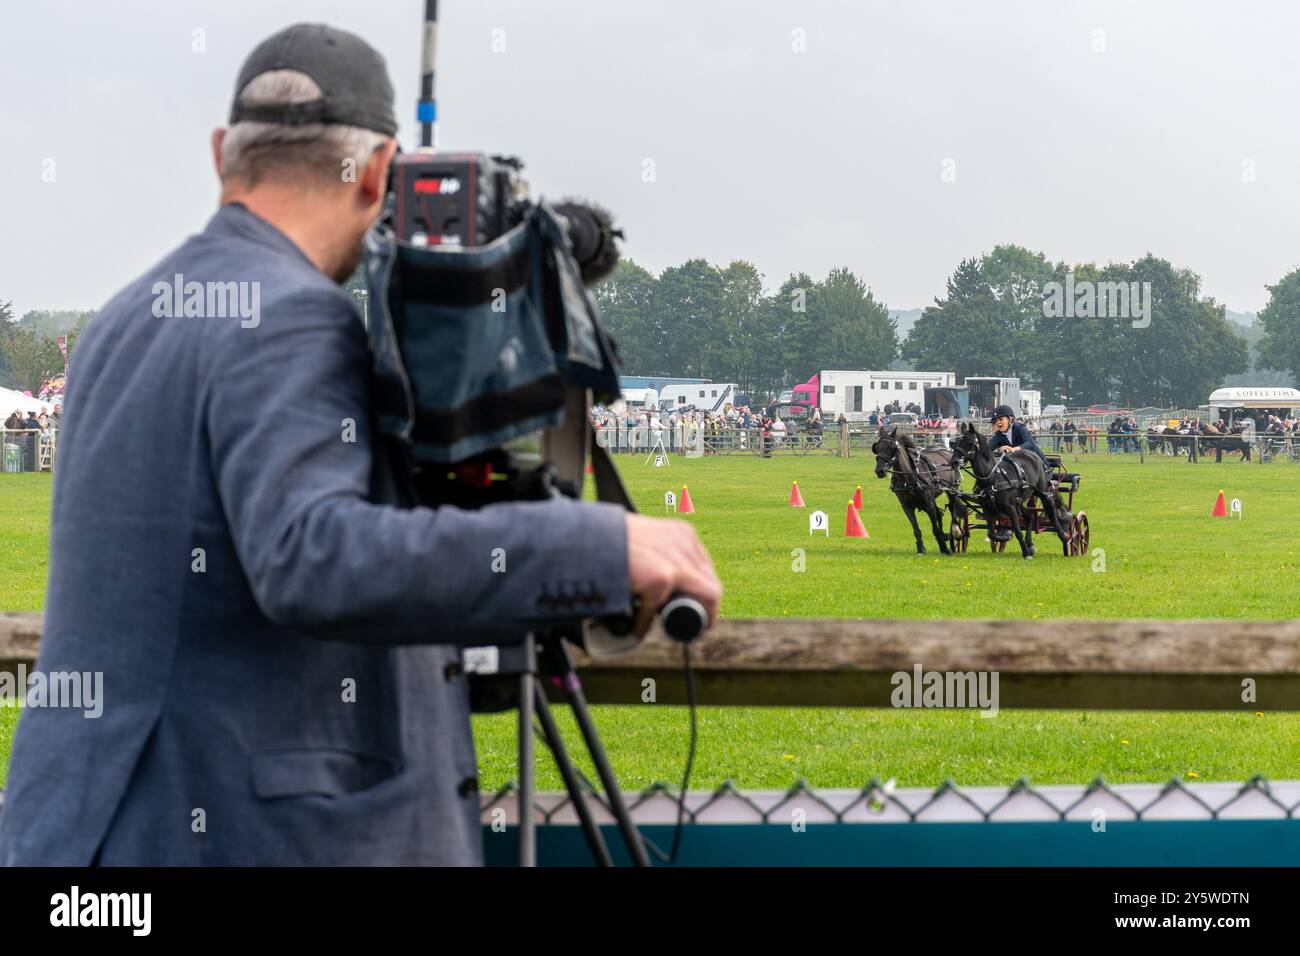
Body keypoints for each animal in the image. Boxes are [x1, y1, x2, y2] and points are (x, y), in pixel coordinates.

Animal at [951, 426, 1071, 561]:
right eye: (956, 442)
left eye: (969, 443)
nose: (953, 461)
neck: (993, 477)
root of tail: (1034, 456)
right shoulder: (988, 509)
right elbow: (991, 533)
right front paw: (1005, 535)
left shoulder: (1010, 508)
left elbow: (1018, 532)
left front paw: (1025, 553)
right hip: (1020, 501)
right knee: (1030, 516)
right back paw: (1030, 544)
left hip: (1042, 491)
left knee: (1050, 507)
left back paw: (1063, 534)